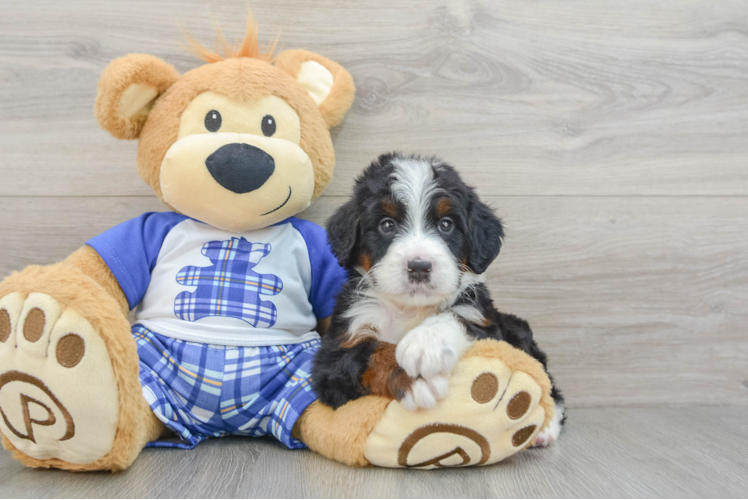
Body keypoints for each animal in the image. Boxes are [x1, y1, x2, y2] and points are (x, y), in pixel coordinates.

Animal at [312, 151, 564, 446]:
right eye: (387, 225)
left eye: (446, 224)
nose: (419, 266)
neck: (409, 309)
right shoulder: (334, 355)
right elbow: (370, 352)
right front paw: (413, 378)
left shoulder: (485, 323)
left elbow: (453, 316)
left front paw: (425, 344)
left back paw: (545, 428)